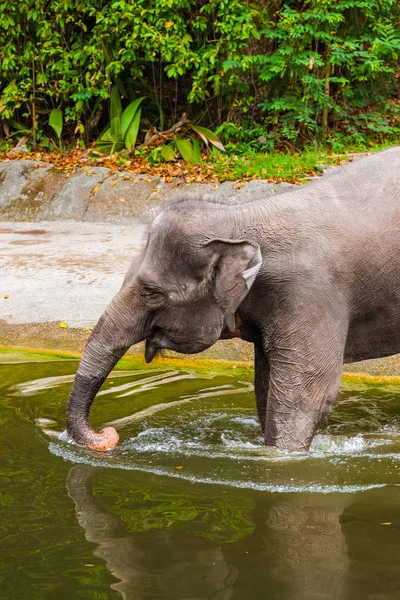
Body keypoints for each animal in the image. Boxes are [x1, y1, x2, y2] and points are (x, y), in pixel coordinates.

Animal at [66, 149, 400, 450]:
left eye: (151, 293)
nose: (108, 435)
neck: (241, 215)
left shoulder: (311, 293)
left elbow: (307, 395)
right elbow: (265, 386)